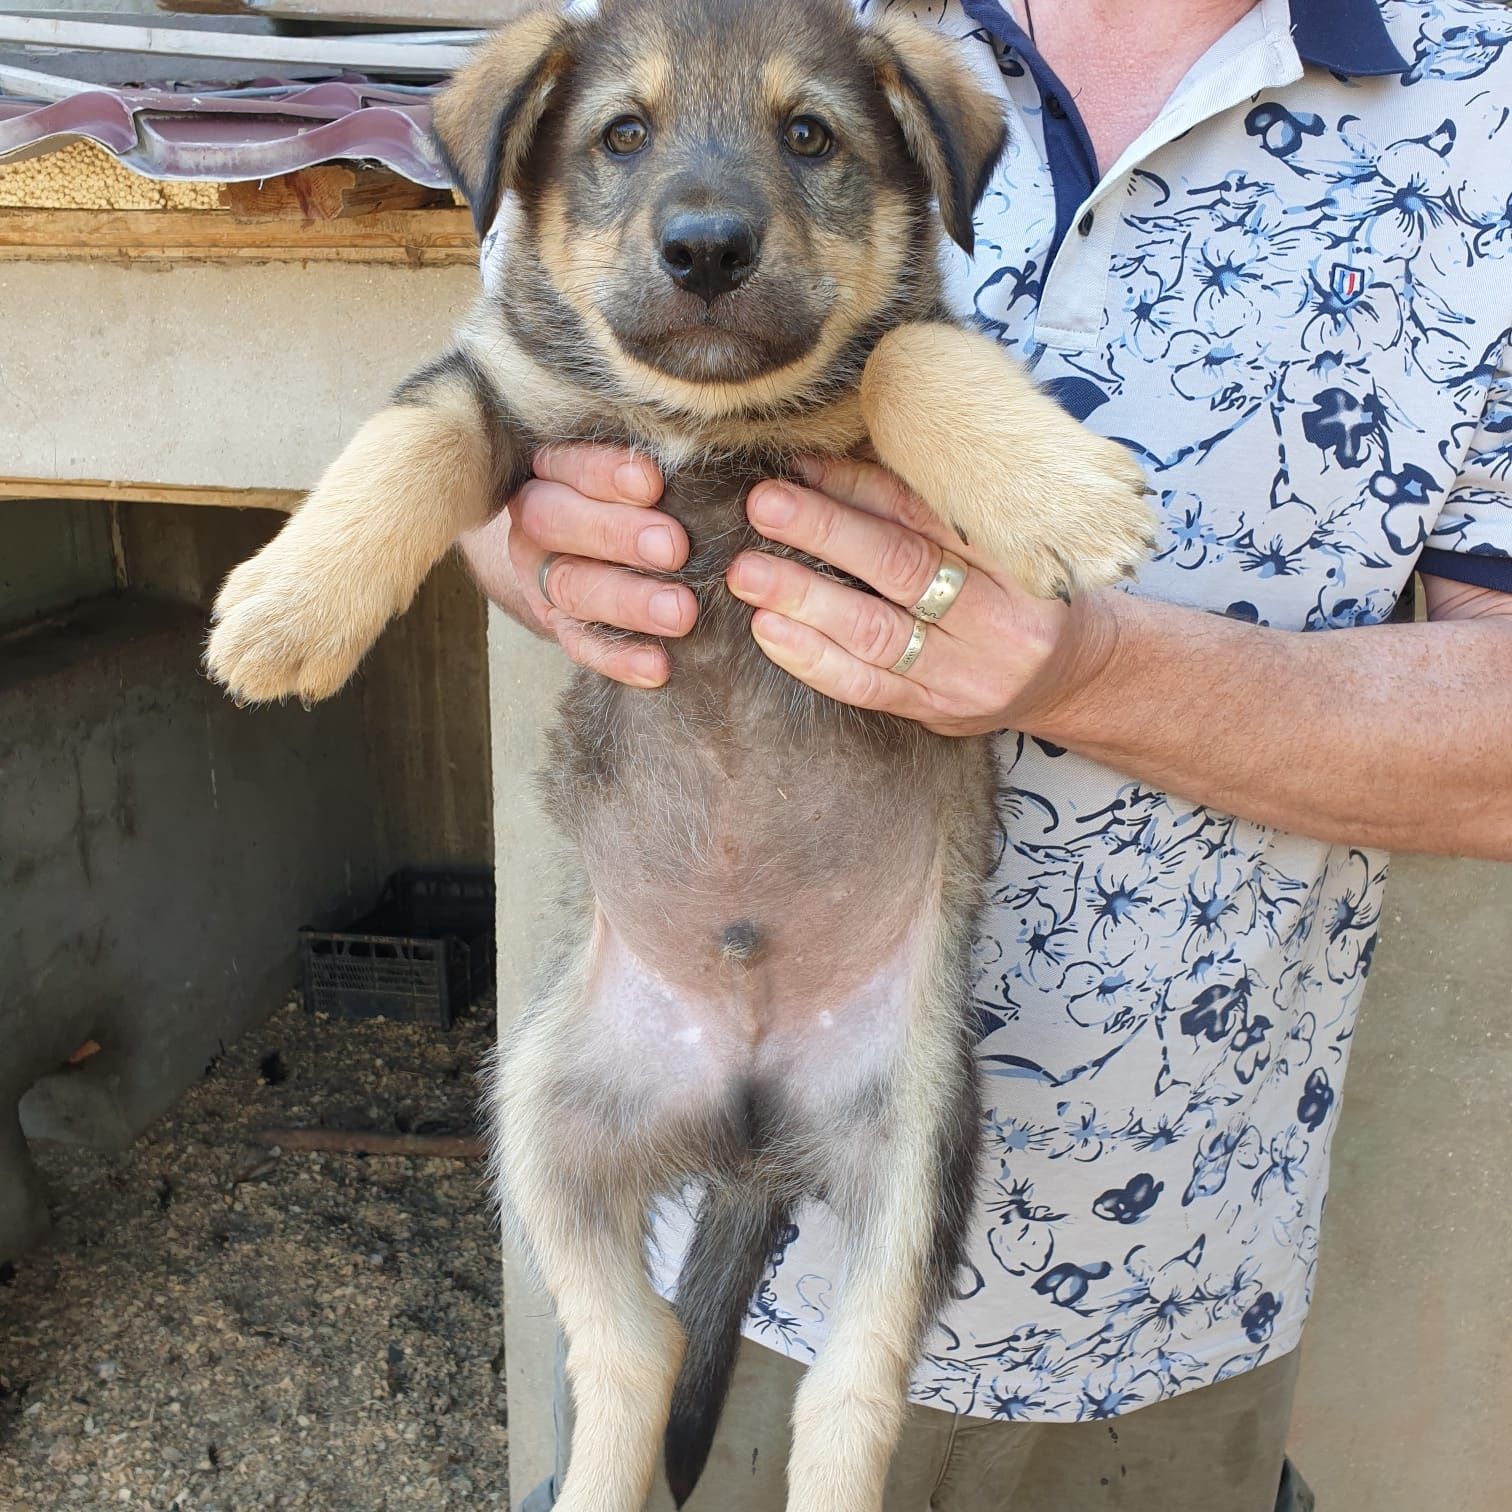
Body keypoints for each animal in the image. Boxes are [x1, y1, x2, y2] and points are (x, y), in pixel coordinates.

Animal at [207, 2, 1149, 1512]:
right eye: (623, 135)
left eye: (810, 134)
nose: (706, 247)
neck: (707, 421)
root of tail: (748, 1119)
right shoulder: (500, 391)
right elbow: (409, 436)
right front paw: (290, 608)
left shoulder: (887, 369)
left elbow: (908, 355)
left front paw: (1052, 489)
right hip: (544, 1118)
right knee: (633, 1349)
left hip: (915, 1148)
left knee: (847, 1393)